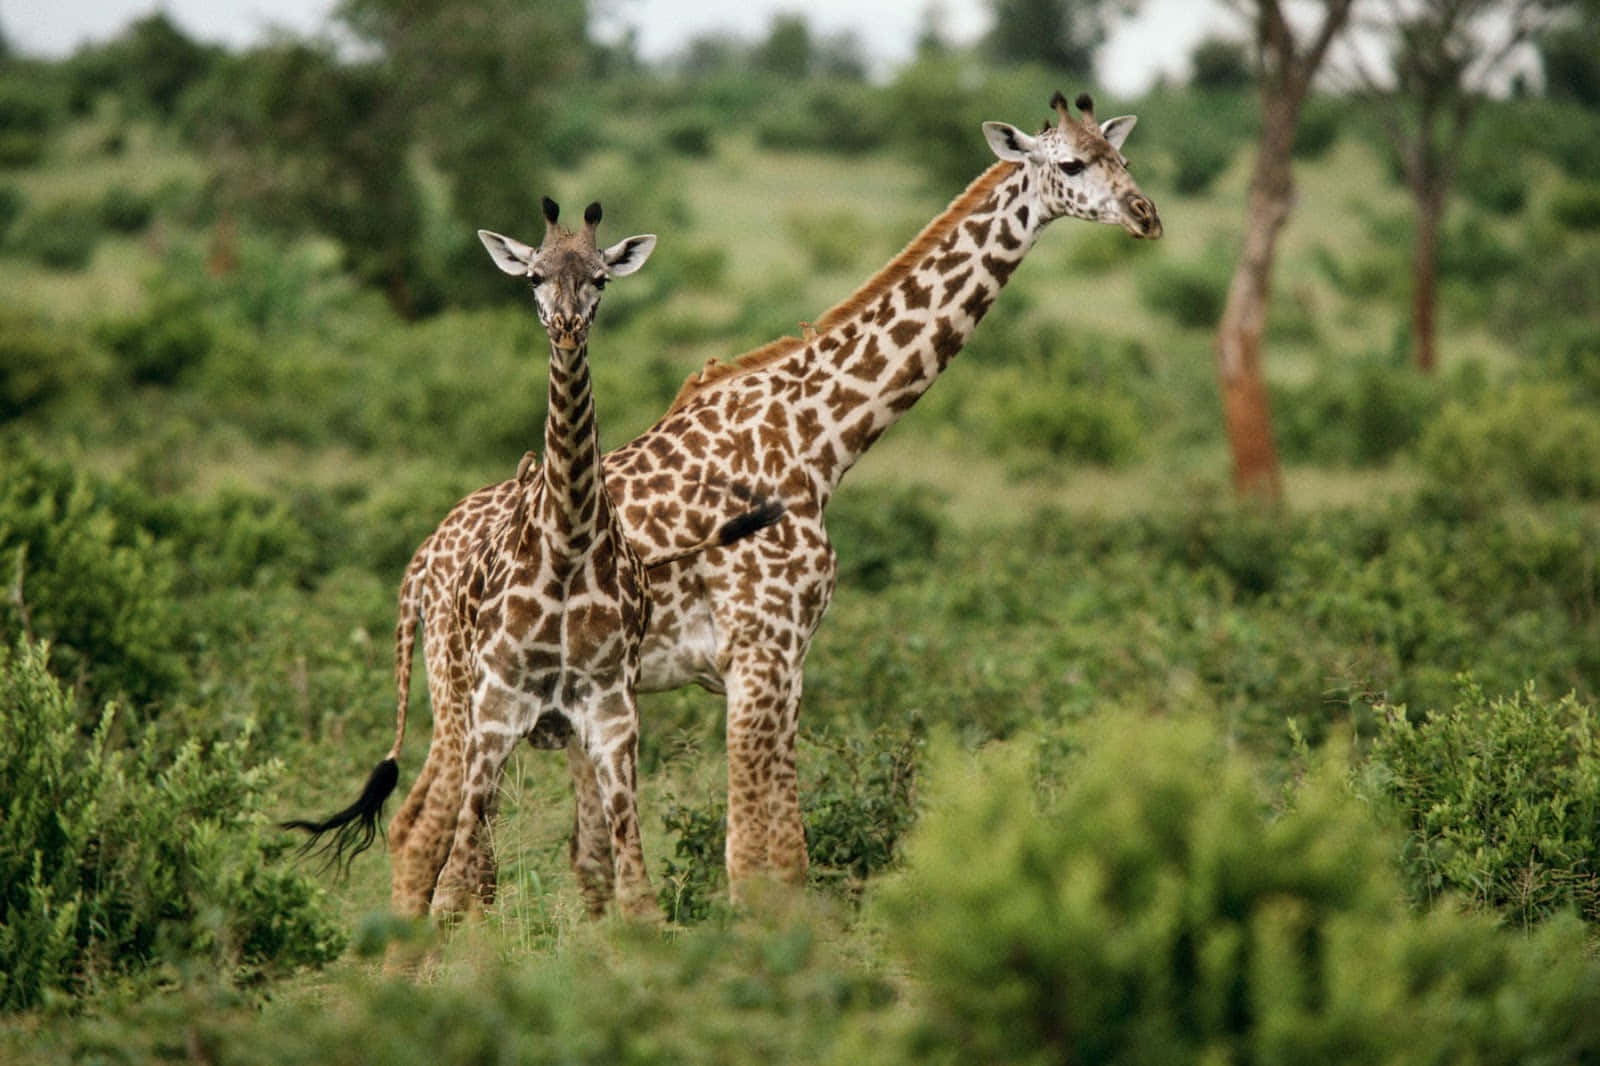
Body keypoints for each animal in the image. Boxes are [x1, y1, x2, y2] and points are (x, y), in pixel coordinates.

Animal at [291, 201, 790, 921]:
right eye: (533, 276)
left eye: (601, 279)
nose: (566, 325)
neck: (570, 541)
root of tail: (419, 563)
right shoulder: (499, 712)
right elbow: (457, 885)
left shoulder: (611, 716)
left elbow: (635, 889)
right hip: (462, 712)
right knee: (447, 856)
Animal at [384, 91, 1164, 902]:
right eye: (1070, 165)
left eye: (1122, 158)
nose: (1145, 215)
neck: (819, 440)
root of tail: (421, 563)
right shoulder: (761, 648)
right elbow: (761, 858)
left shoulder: (789, 657)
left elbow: (779, 850)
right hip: (467, 690)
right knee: (418, 832)